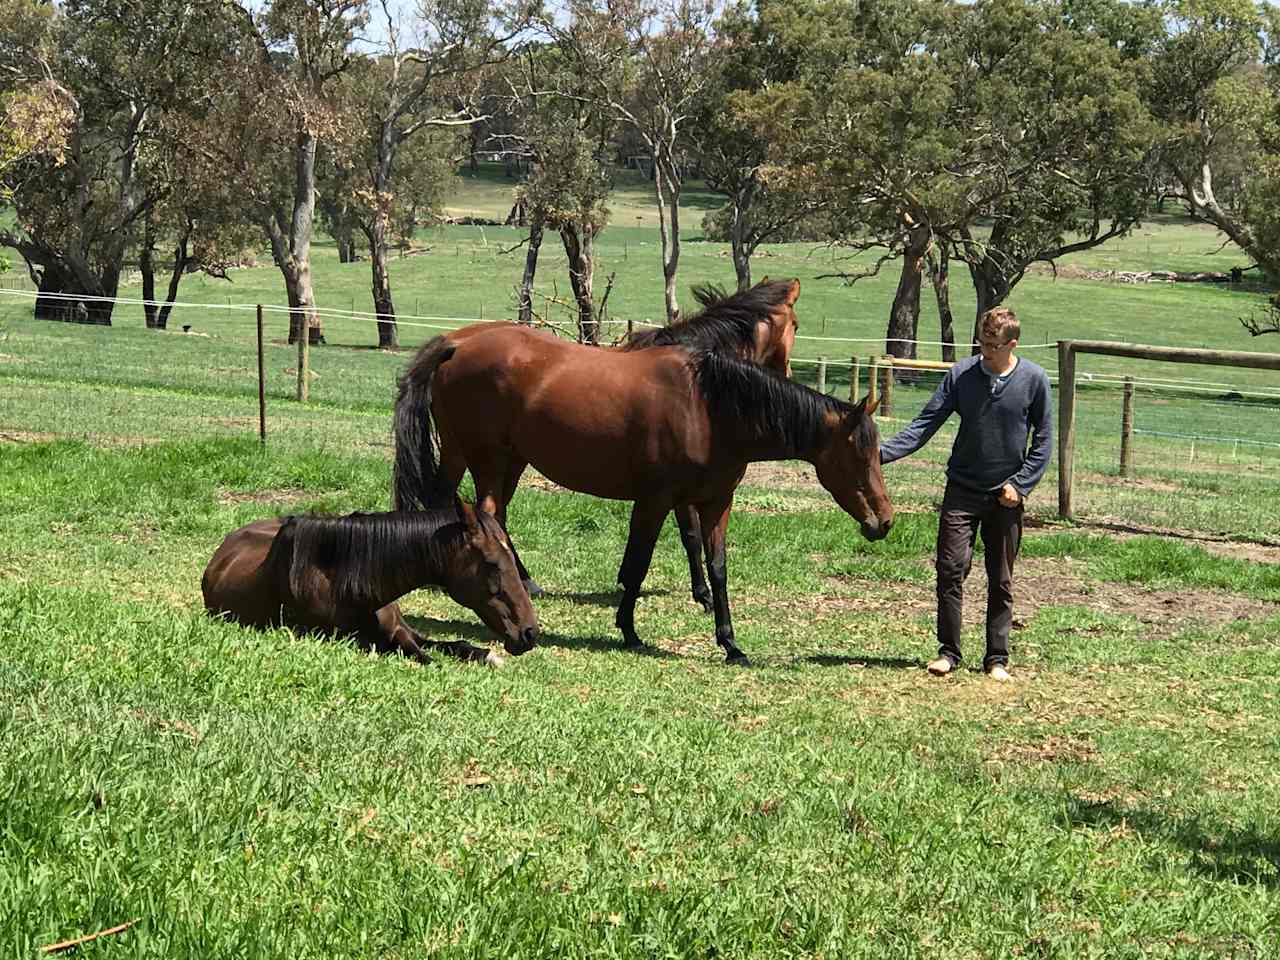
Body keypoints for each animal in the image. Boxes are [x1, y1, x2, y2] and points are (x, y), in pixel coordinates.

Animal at [200, 504, 540, 670]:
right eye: (493, 563)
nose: (529, 633)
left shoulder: (405, 630)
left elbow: (453, 645)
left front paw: (490, 657)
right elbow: (425, 657)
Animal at [389, 335, 890, 665]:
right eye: (859, 455)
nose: (883, 522)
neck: (709, 409)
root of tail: (458, 344)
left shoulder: (715, 504)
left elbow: (717, 570)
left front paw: (730, 644)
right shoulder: (655, 501)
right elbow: (636, 566)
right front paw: (629, 631)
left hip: (505, 462)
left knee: (490, 516)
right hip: (481, 458)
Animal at [396, 277, 798, 611]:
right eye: (795, 325)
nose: (787, 374)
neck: (695, 374)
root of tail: (455, 344)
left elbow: (689, 536)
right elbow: (693, 536)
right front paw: (704, 596)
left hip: (483, 454)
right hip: (485, 456)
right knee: (488, 511)